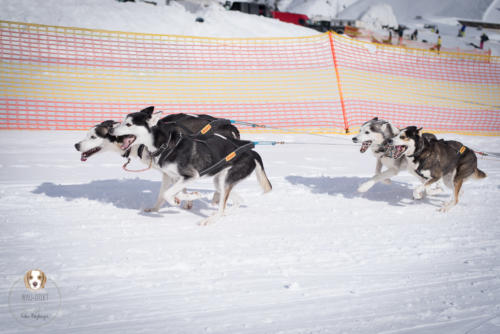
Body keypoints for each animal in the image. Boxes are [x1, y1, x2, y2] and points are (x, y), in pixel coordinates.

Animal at [111, 108, 272, 226]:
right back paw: (222, 213)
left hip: (225, 180)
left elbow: (168, 193)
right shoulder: (172, 176)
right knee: (237, 201)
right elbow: (165, 193)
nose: (111, 131)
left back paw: (209, 219)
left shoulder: (191, 175)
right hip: (220, 181)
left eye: (128, 124)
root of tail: (251, 151)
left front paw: (187, 197)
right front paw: (159, 207)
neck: (165, 145)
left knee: (223, 206)